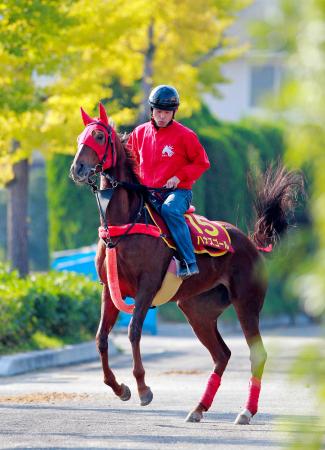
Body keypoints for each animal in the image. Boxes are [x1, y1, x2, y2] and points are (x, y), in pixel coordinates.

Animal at [69, 103, 304, 426]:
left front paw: (143, 388)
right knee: (221, 355)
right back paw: (199, 408)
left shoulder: (146, 288)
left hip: (247, 304)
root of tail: (251, 245)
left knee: (257, 354)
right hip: (197, 310)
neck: (128, 221)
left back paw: (245, 411)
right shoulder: (110, 290)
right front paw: (120, 388)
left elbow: (133, 331)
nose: (77, 169)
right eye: (80, 136)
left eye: (100, 136)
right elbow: (101, 339)